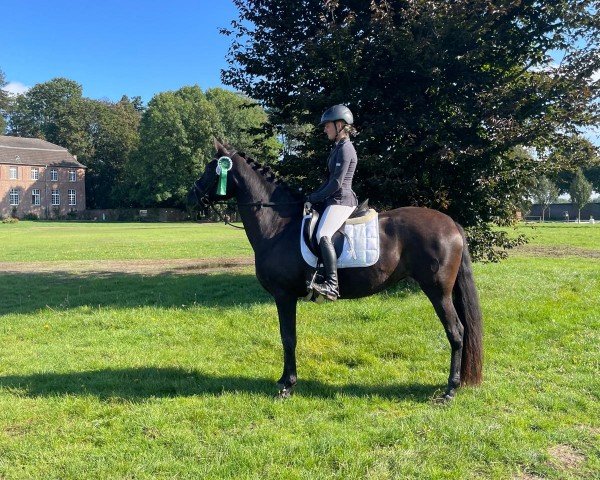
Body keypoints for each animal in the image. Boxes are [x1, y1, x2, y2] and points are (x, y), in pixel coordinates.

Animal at [190, 141, 486, 400]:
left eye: (210, 167)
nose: (189, 198)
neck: (278, 226)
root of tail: (451, 223)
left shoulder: (284, 295)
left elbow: (288, 338)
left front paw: (287, 385)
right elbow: (288, 337)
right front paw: (285, 381)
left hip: (438, 291)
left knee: (456, 332)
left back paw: (450, 391)